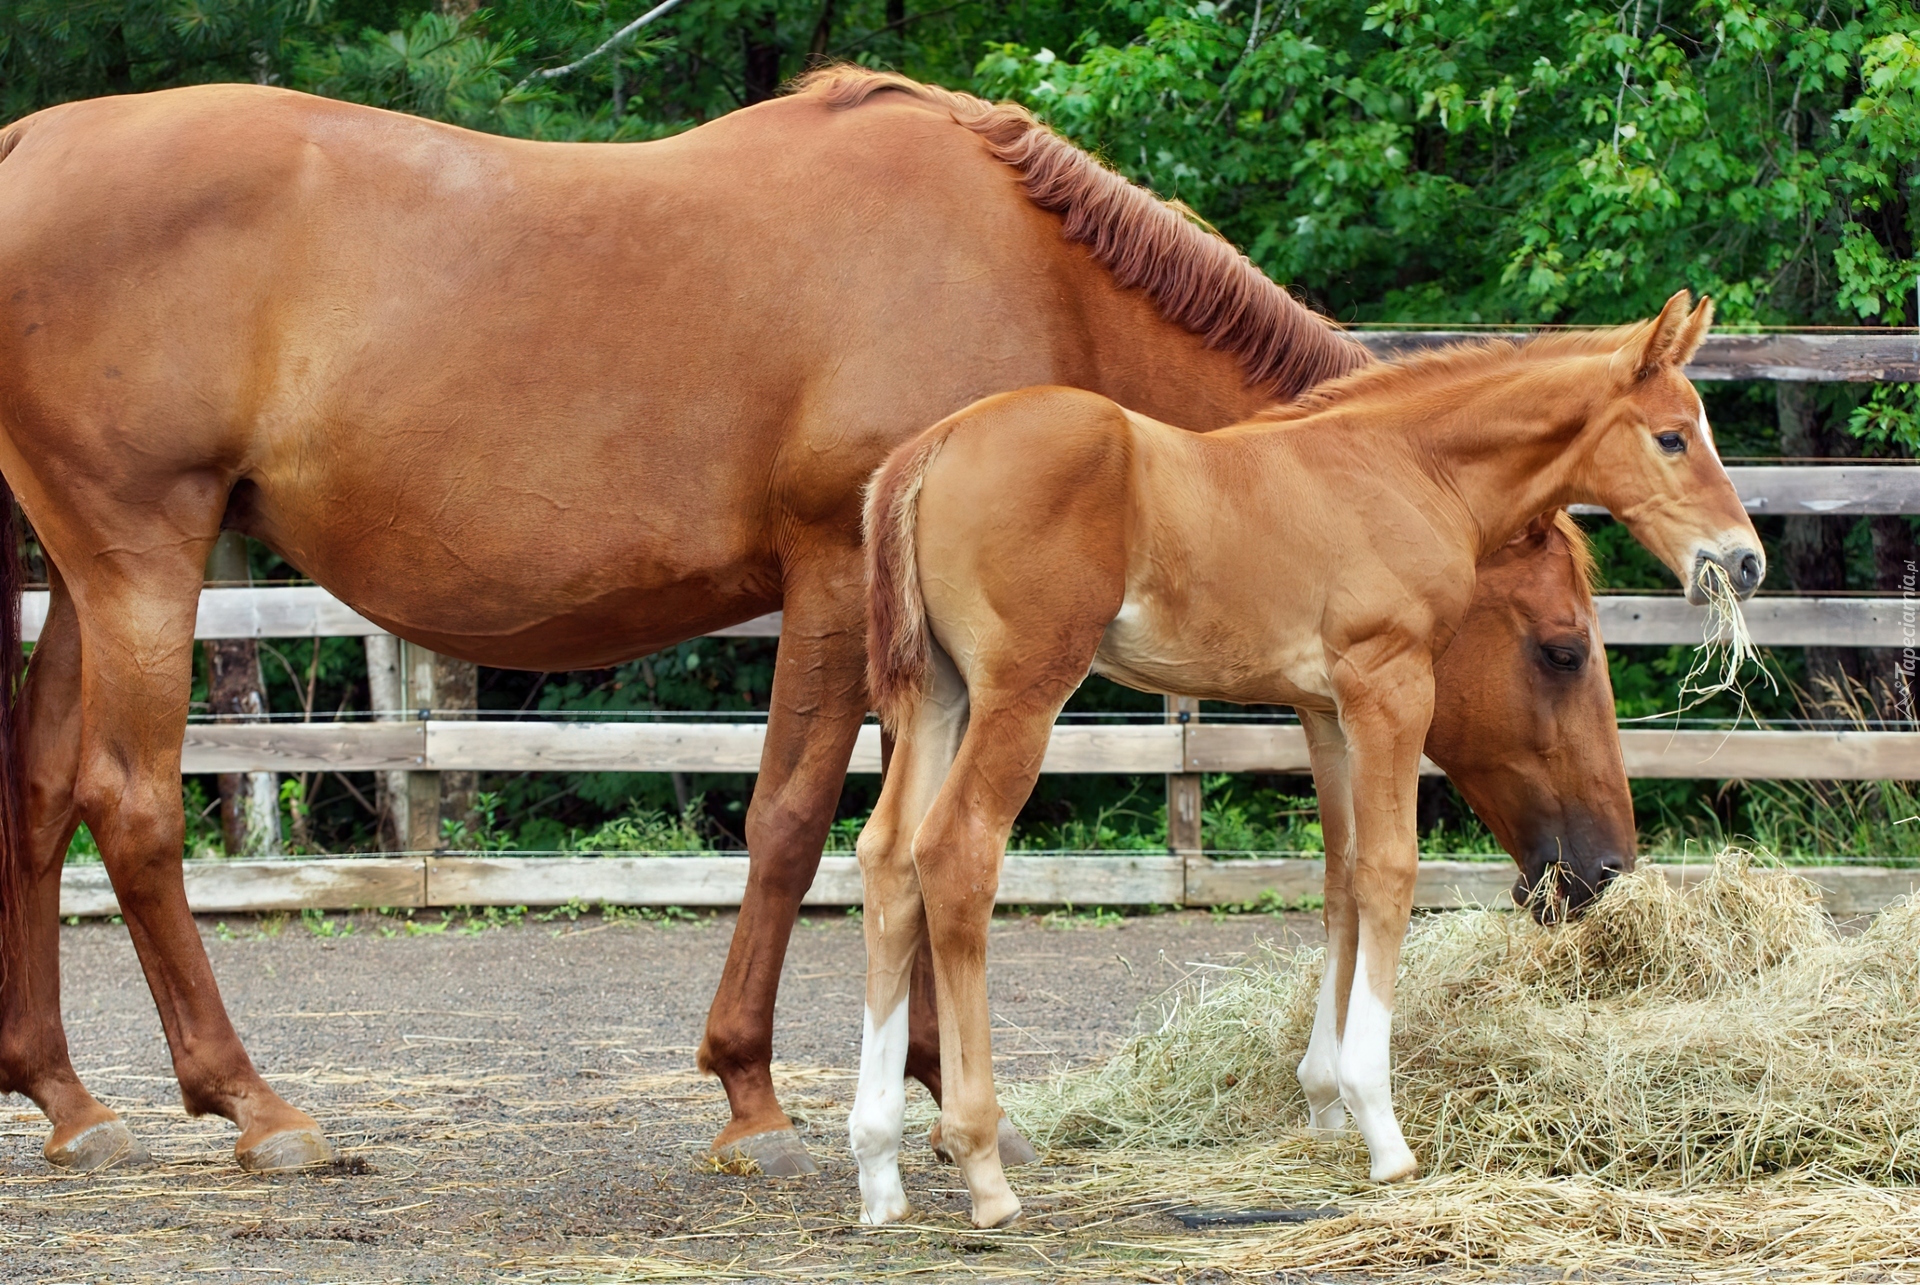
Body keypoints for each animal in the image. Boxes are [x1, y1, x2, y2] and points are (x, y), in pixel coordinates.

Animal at [0, 67, 1620, 1175]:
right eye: (1561, 647)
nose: (1603, 865)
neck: (1020, 263)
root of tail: (27, 146)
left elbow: (902, 830)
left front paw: (923, 1079)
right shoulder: (841, 582)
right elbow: (799, 821)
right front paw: (760, 1093)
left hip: (82, 575)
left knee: (38, 791)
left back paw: (66, 1097)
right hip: (144, 553)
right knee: (129, 803)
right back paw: (251, 1103)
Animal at [852, 293, 1758, 1221]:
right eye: (1673, 437)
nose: (1743, 559)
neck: (1406, 469)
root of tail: (930, 447)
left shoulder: (1325, 709)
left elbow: (1340, 876)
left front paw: (1325, 1102)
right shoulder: (1390, 685)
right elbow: (1390, 871)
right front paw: (1381, 1127)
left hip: (938, 695)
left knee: (886, 856)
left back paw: (879, 1166)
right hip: (1021, 693)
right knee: (954, 852)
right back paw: (981, 1166)